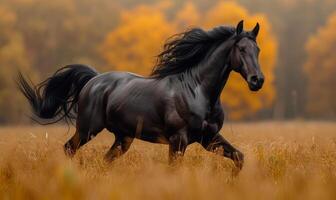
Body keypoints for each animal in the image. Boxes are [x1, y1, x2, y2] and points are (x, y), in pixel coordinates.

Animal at [18, 21, 264, 170]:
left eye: (258, 50)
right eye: (242, 49)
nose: (257, 80)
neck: (198, 91)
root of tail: (93, 80)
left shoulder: (209, 138)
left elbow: (239, 158)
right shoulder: (178, 140)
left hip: (123, 138)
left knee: (105, 160)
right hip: (88, 129)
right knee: (69, 149)